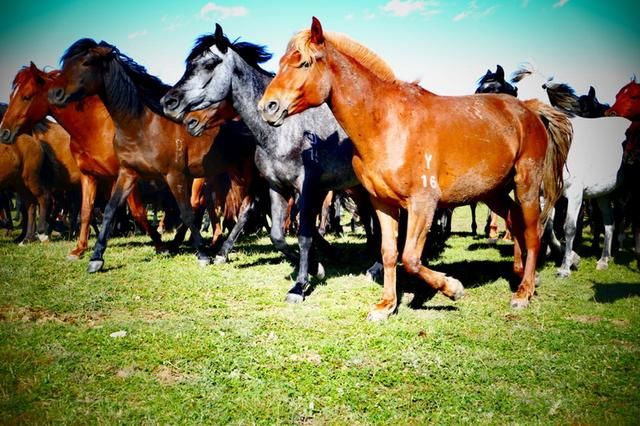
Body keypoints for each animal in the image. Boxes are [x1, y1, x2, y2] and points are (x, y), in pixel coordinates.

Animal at [0, 61, 168, 258]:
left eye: (26, 97)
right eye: (11, 96)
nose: (4, 132)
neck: (94, 127)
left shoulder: (126, 176)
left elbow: (137, 211)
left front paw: (159, 244)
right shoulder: (89, 176)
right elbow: (87, 210)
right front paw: (80, 248)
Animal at [47, 40, 262, 272]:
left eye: (86, 62)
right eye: (67, 63)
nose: (55, 94)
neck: (144, 126)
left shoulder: (174, 175)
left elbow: (186, 212)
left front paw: (203, 255)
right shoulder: (127, 173)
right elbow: (110, 210)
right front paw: (96, 258)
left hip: (247, 172)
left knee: (246, 207)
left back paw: (219, 251)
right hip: (234, 171)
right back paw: (220, 250)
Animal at [260, 19, 576, 320]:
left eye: (304, 63)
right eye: (281, 63)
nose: (267, 107)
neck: (386, 124)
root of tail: (529, 110)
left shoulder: (423, 203)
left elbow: (411, 258)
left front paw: (452, 288)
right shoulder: (382, 203)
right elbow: (389, 253)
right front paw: (386, 306)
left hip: (527, 186)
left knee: (532, 232)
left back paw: (524, 291)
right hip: (493, 191)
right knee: (514, 221)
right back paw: (520, 275)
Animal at [510, 63, 632, 276]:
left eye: (543, 86)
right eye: (517, 89)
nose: (527, 112)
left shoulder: (575, 194)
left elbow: (569, 228)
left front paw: (566, 266)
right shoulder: (544, 194)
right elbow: (547, 226)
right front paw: (569, 255)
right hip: (603, 194)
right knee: (609, 223)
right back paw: (604, 260)